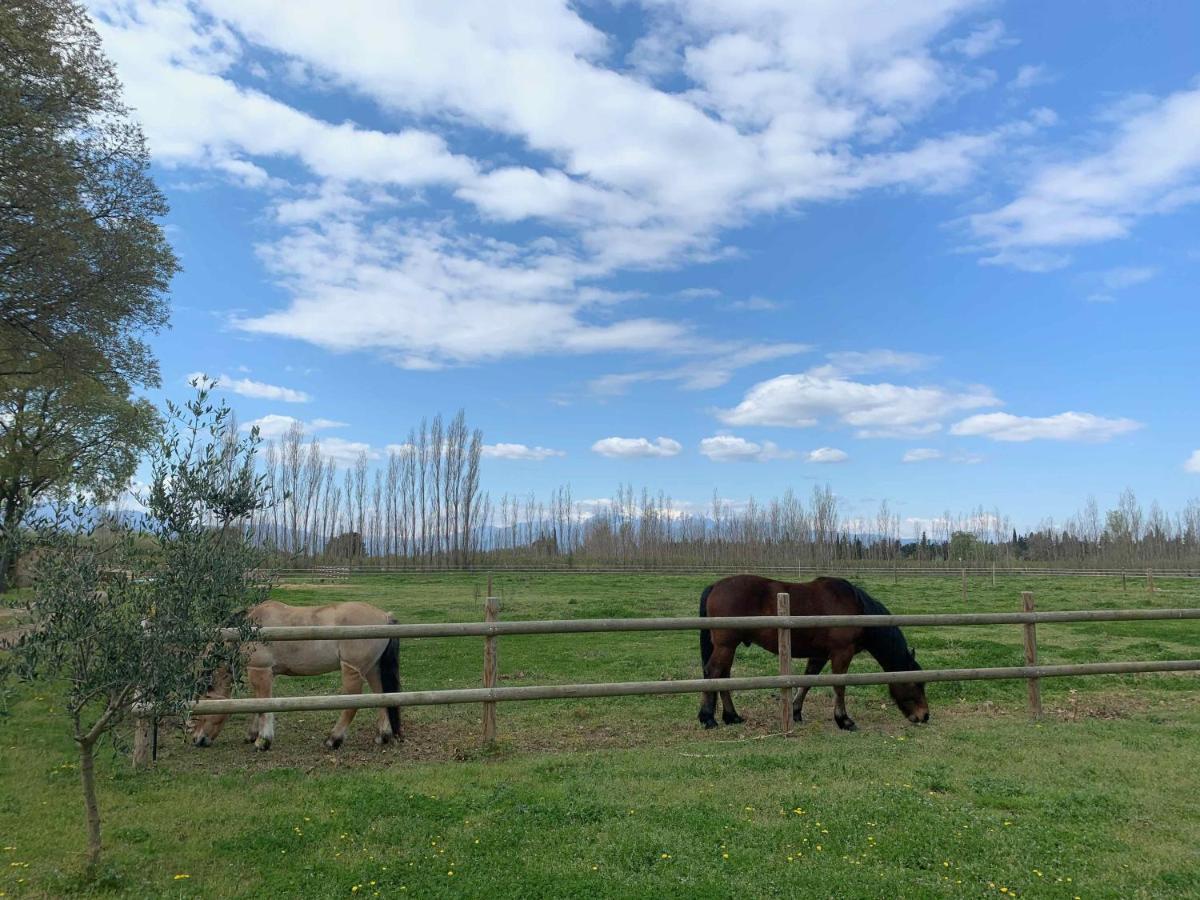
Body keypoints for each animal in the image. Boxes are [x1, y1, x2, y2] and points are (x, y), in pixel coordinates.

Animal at [190, 600, 403, 753]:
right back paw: (383, 736)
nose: (197, 740)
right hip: (373, 669)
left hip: (353, 671)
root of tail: (385, 617)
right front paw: (252, 735)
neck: (249, 629)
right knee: (382, 697)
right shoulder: (265, 673)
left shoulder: (260, 671)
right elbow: (258, 704)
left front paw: (262, 741)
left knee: (352, 704)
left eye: (199, 710)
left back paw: (333, 739)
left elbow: (263, 705)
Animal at [696, 578, 926, 734]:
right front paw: (844, 720)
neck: (855, 609)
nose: (924, 716)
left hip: (728, 647)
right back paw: (708, 718)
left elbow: (807, 682)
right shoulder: (841, 653)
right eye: (915, 684)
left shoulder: (820, 655)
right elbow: (839, 686)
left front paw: (796, 711)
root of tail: (715, 586)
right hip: (726, 646)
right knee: (713, 672)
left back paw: (731, 716)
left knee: (723, 676)